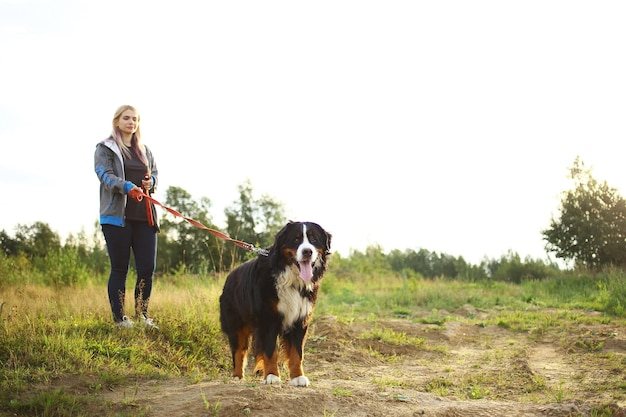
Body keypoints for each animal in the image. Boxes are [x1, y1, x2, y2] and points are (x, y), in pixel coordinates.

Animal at [218, 221, 330, 386]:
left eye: (313, 239)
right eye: (296, 239)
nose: (307, 252)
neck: (291, 279)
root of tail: (230, 275)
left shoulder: (300, 319)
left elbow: (297, 353)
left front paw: (298, 377)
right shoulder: (268, 319)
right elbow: (270, 351)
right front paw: (271, 375)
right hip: (236, 323)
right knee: (239, 350)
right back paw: (237, 375)